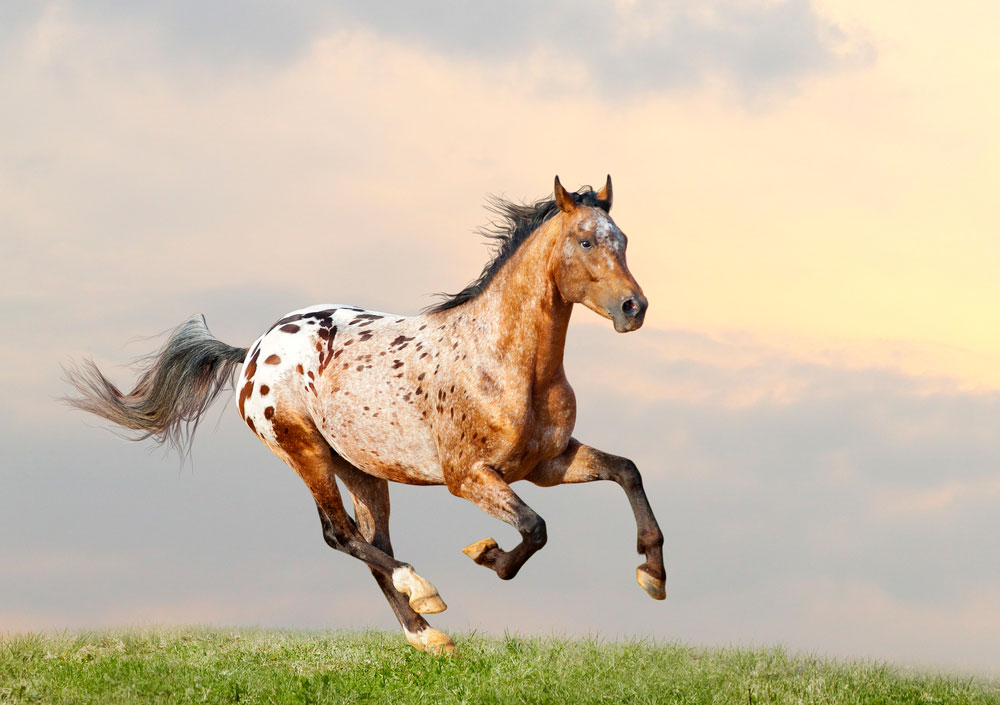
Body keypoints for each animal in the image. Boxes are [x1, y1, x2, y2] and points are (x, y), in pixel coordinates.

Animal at [66, 175, 668, 656]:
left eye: (624, 241)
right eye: (585, 240)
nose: (633, 308)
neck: (504, 362)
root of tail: (253, 350)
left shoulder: (546, 463)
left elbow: (627, 471)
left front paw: (652, 574)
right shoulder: (469, 477)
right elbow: (534, 528)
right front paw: (488, 556)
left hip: (362, 469)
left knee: (373, 542)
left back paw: (427, 634)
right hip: (303, 450)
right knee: (341, 534)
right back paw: (424, 593)